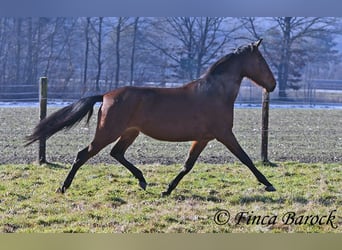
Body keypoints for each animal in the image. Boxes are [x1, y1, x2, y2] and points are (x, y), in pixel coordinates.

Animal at [27, 38, 278, 195]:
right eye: (261, 61)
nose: (273, 85)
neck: (215, 93)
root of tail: (106, 95)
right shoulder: (224, 133)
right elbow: (245, 158)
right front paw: (269, 185)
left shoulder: (203, 138)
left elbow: (188, 165)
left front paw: (167, 189)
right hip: (108, 132)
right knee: (83, 154)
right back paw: (63, 187)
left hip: (130, 132)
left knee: (116, 153)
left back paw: (142, 180)